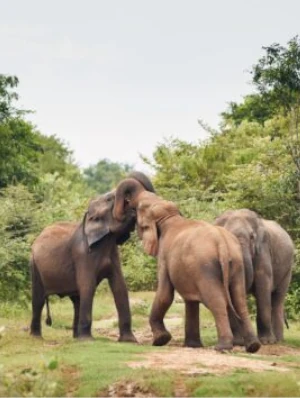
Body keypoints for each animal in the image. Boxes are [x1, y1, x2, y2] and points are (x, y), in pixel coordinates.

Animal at [29, 169, 155, 340]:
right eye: (110, 199)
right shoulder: (82, 254)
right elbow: (88, 286)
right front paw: (88, 341)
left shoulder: (113, 253)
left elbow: (120, 286)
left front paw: (130, 341)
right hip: (34, 265)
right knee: (38, 299)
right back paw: (37, 338)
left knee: (76, 300)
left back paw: (76, 338)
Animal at [111, 179, 262, 352]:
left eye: (138, 209)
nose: (126, 208)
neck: (169, 216)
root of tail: (222, 244)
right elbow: (190, 300)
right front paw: (192, 346)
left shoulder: (164, 256)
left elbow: (165, 294)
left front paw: (160, 340)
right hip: (237, 265)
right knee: (239, 300)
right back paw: (253, 346)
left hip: (206, 269)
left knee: (217, 301)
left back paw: (222, 347)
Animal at [214, 208, 294, 346]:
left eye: (252, 237)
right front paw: (238, 343)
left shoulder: (263, 249)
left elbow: (263, 286)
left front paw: (266, 342)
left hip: (287, 269)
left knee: (277, 298)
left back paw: (277, 340)